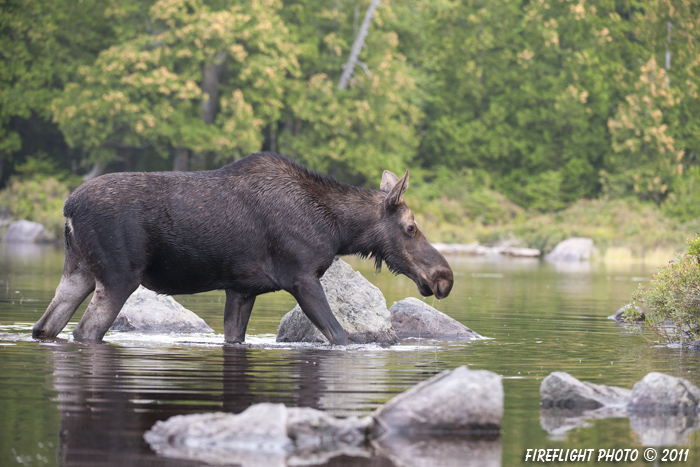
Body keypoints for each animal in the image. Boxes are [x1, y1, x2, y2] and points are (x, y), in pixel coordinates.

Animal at [34, 152, 454, 346]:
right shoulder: (301, 276)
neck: (337, 231)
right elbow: (340, 335)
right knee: (84, 331)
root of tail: (68, 208)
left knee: (46, 326)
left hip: (80, 272)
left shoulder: (242, 288)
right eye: (410, 227)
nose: (444, 277)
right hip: (119, 276)